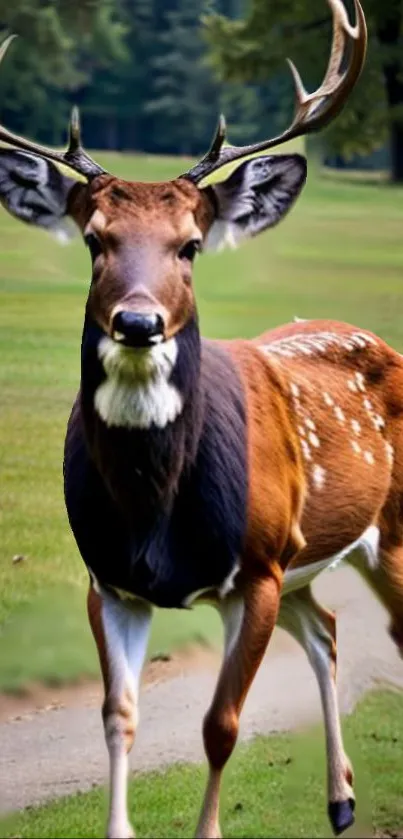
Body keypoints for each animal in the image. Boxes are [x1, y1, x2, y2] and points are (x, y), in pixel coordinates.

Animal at [1, 3, 394, 836]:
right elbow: (118, 714)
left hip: (373, 535)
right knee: (328, 630)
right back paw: (340, 799)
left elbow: (220, 723)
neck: (156, 514)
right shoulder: (109, 578)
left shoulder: (256, 567)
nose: (137, 321)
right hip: (302, 564)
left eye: (189, 246)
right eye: (94, 240)